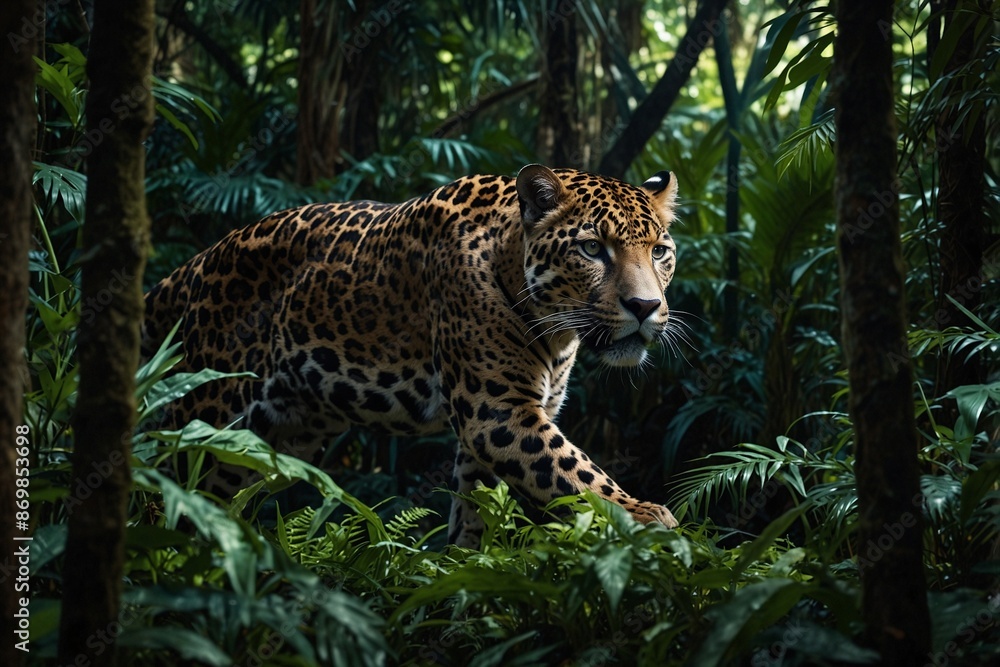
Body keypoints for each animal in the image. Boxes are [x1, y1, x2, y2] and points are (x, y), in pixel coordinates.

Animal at [142, 164, 681, 548]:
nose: (645, 306)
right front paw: (643, 514)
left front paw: (466, 569)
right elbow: (576, 471)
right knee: (164, 482)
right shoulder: (498, 412)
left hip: (272, 440)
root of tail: (196, 265)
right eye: (592, 249)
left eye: (659, 252)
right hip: (206, 413)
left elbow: (478, 505)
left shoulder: (508, 421)